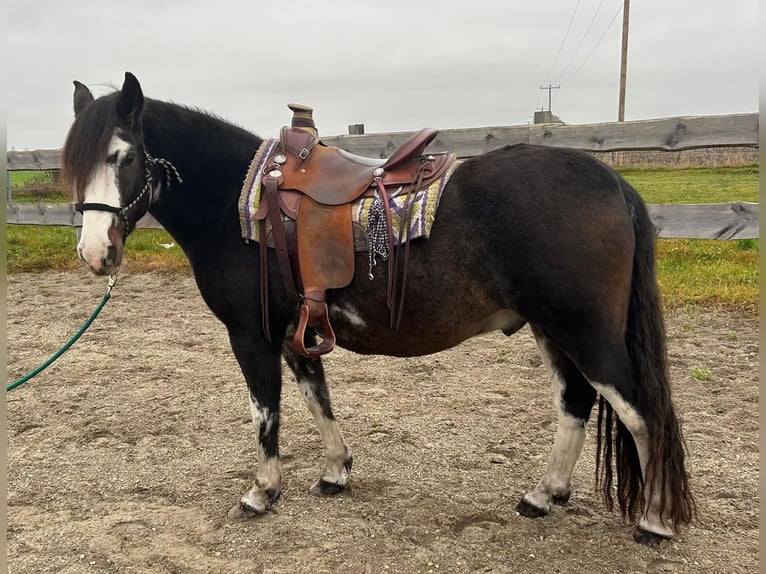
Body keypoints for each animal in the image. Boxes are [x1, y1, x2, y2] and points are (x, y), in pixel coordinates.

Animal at [60, 74, 696, 548]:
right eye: (73, 164)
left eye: (124, 156)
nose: (95, 253)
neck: (239, 204)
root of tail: (611, 181)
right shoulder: (296, 334)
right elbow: (318, 400)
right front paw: (335, 471)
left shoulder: (252, 335)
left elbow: (266, 415)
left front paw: (262, 491)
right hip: (553, 331)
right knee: (576, 403)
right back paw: (543, 496)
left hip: (586, 334)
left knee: (642, 413)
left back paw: (654, 520)